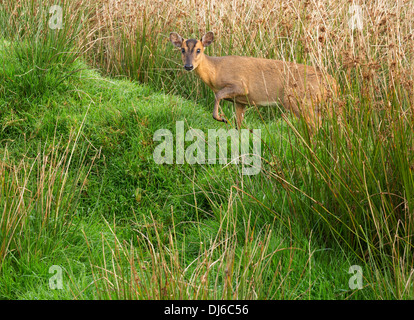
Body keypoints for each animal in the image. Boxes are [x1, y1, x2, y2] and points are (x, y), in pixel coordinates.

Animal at [170, 31, 338, 129]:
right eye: (182, 50)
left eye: (199, 50)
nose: (188, 66)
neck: (216, 71)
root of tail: (333, 83)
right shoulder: (240, 101)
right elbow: (238, 125)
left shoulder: (240, 85)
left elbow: (218, 95)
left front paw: (221, 118)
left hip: (299, 99)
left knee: (314, 125)